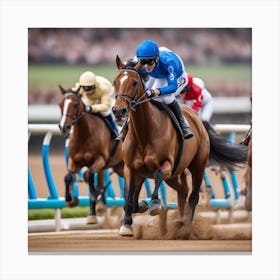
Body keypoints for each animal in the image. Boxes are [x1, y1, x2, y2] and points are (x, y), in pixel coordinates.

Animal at [58, 85, 123, 223]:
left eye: (75, 105)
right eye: (60, 104)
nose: (64, 127)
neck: (85, 134)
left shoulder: (100, 160)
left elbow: (89, 176)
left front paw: (94, 205)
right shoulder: (74, 160)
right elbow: (68, 177)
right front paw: (70, 200)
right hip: (118, 167)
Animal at [111, 56, 247, 236]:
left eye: (134, 83)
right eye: (115, 82)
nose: (119, 111)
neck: (144, 133)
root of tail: (198, 121)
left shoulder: (167, 164)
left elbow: (158, 175)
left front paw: (155, 204)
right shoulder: (131, 168)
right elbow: (129, 198)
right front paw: (127, 224)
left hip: (197, 165)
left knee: (193, 195)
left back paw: (186, 224)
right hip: (174, 174)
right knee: (182, 191)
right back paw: (179, 220)